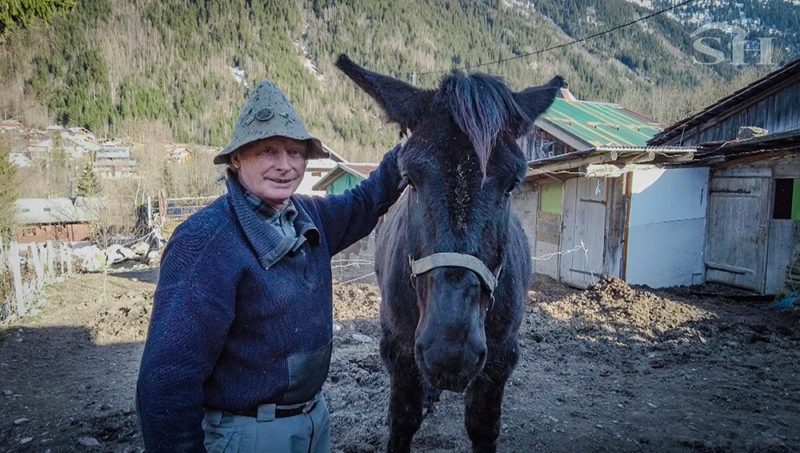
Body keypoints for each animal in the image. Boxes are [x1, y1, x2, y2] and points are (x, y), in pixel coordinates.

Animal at [336, 54, 562, 453]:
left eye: (513, 184)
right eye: (409, 179)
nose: (451, 352)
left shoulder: (500, 358)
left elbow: (483, 428)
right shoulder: (399, 352)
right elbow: (402, 421)